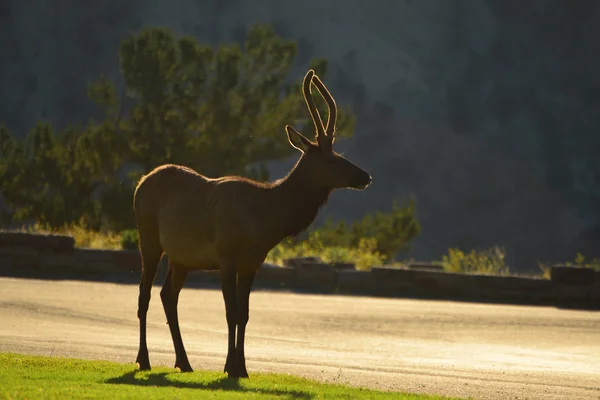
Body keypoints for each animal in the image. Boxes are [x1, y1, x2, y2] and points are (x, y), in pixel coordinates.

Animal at [134, 68, 372, 378]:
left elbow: (244, 315)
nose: (366, 176)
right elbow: (231, 312)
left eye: (341, 154)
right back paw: (143, 359)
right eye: (331, 160)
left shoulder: (252, 262)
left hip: (181, 257)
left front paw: (241, 368)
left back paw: (184, 362)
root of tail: (140, 183)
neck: (265, 220)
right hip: (148, 238)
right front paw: (230, 367)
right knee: (145, 295)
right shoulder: (226, 254)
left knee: (168, 296)